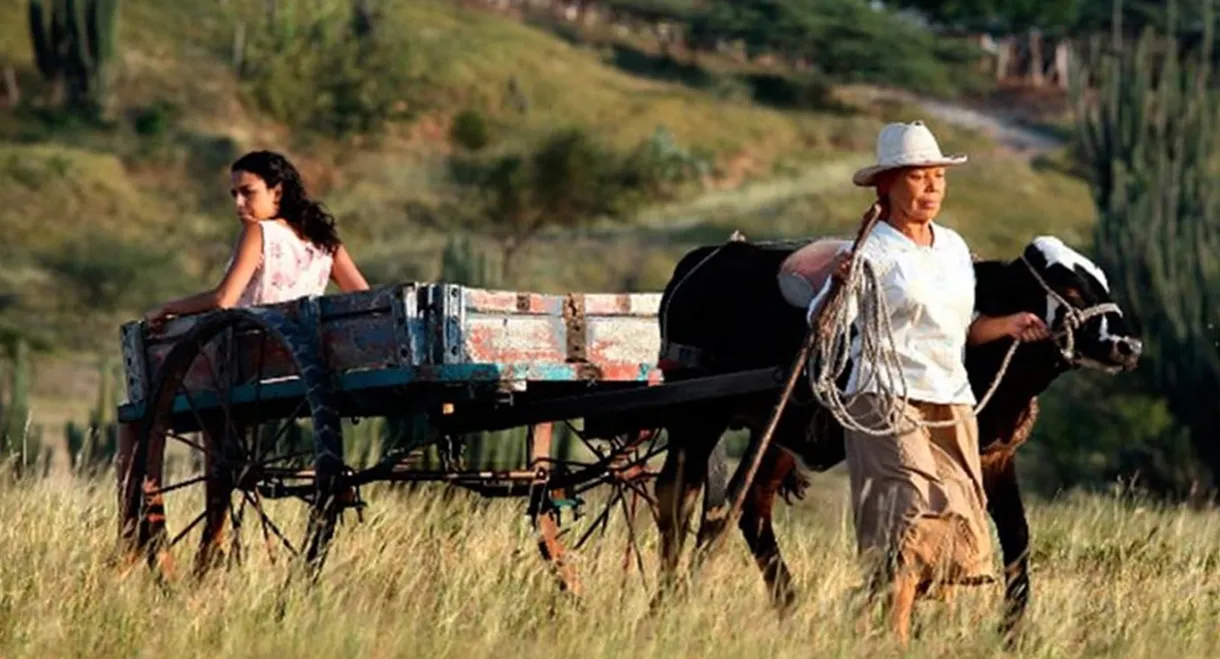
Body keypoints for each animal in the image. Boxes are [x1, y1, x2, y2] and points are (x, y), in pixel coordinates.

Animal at [653, 234, 1137, 634]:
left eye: (1101, 283)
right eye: (1069, 289)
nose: (1127, 346)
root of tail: (706, 258)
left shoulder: (995, 457)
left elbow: (1016, 536)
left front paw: (1010, 632)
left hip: (774, 432)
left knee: (745, 506)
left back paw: (786, 605)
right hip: (697, 419)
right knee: (678, 497)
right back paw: (668, 599)